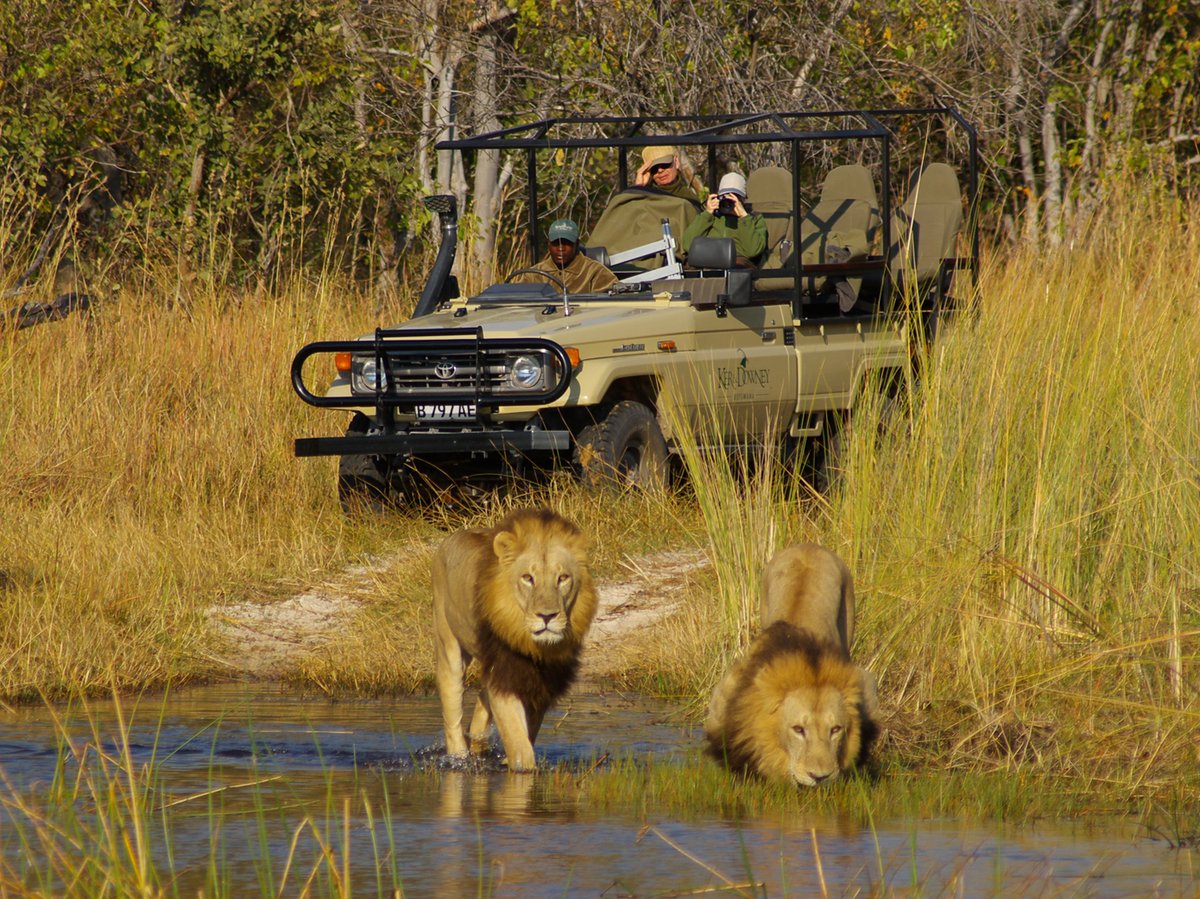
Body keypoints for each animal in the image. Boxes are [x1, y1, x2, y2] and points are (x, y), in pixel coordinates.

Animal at [431, 507, 598, 771]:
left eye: (563, 578)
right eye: (528, 578)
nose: (547, 616)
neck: (533, 646)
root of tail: (447, 540)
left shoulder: (540, 682)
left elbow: (527, 733)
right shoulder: (505, 674)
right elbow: (518, 741)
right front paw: (520, 767)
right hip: (448, 646)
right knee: (453, 718)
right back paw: (458, 757)